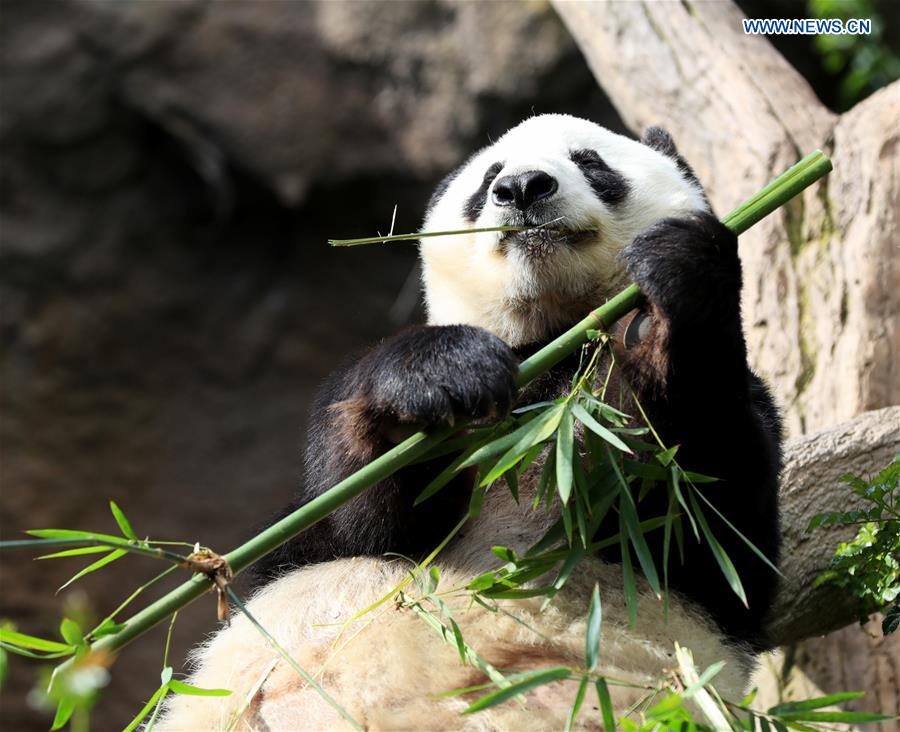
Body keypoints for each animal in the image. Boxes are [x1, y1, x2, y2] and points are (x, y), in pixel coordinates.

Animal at [158, 114, 776, 728]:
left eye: (591, 161)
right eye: (488, 179)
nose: (523, 187)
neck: (552, 339)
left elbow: (712, 525)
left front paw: (670, 286)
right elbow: (358, 517)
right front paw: (440, 377)